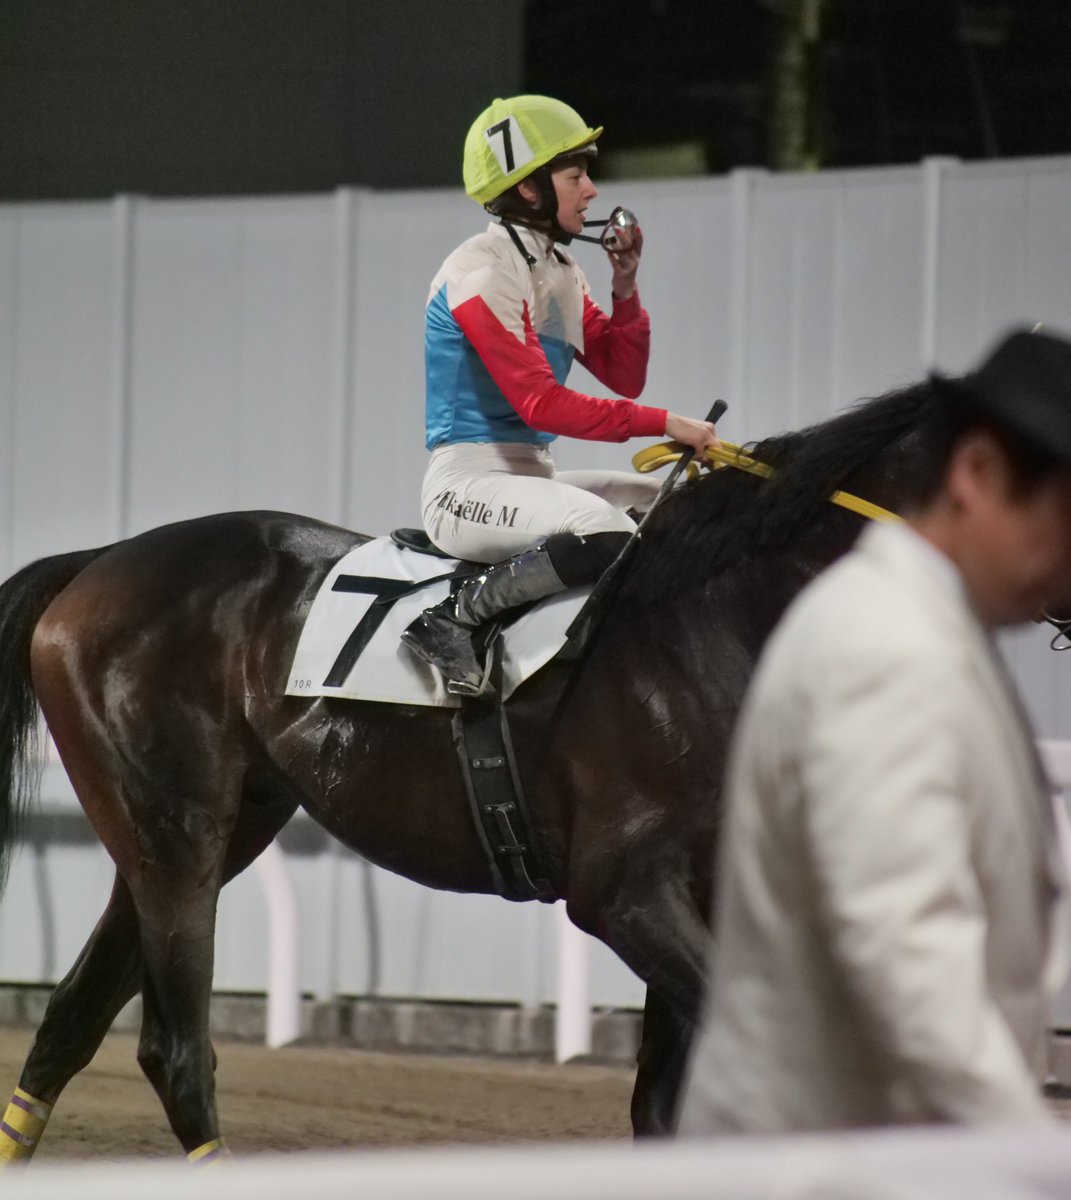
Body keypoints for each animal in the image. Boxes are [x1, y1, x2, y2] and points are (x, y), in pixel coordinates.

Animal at [0, 378, 944, 1161]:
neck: (714, 619)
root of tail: (98, 563)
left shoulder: (701, 894)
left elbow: (665, 1110)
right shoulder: (624, 891)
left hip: (204, 828)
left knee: (71, 1020)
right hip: (175, 832)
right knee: (174, 1051)